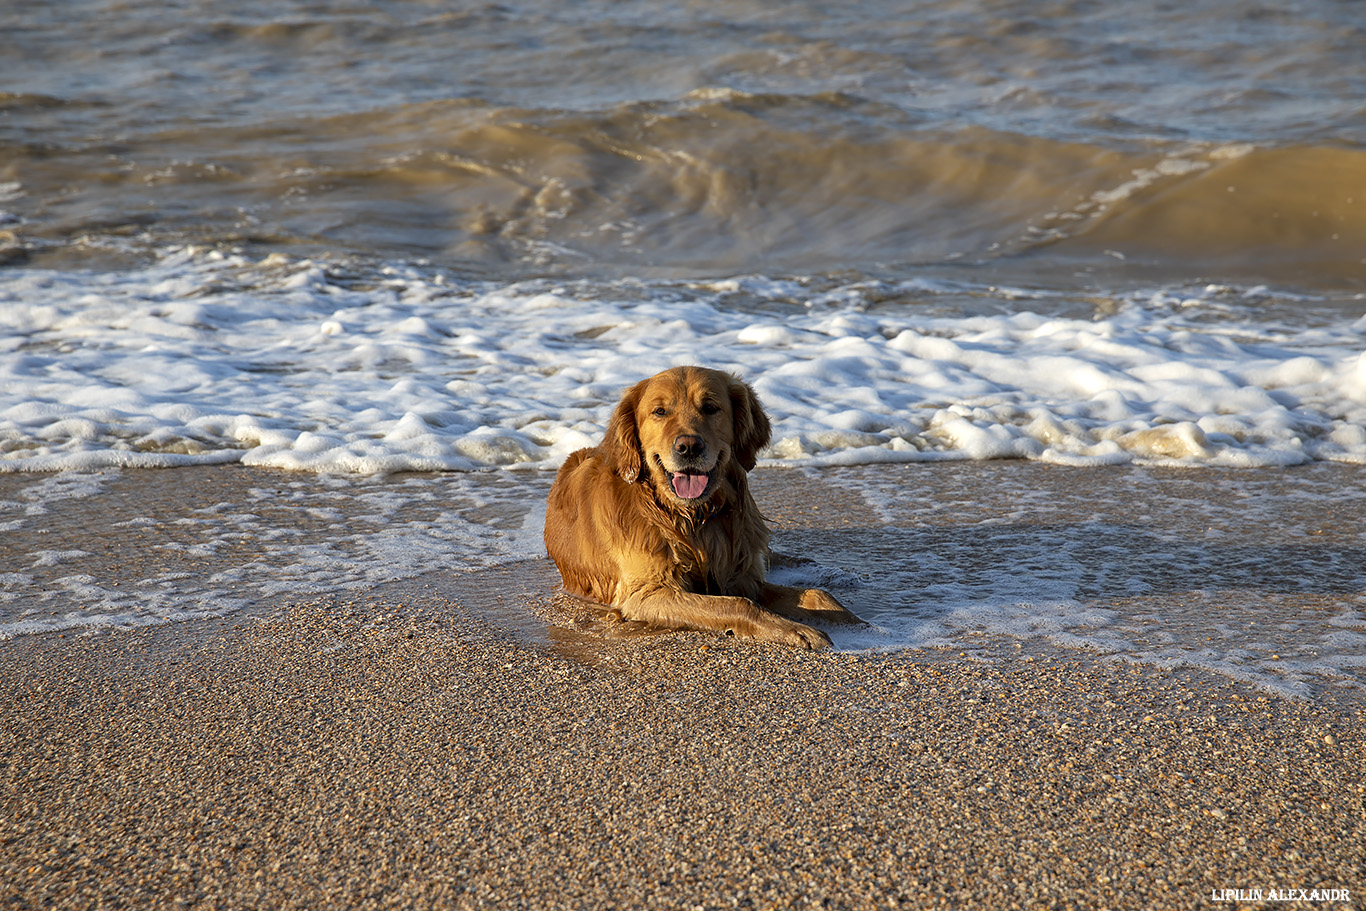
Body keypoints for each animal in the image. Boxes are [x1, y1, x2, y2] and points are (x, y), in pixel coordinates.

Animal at [540, 363, 852, 647]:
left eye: (710, 407)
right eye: (660, 411)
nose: (689, 446)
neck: (693, 518)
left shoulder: (743, 576)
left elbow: (819, 595)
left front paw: (858, 623)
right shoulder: (647, 594)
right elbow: (738, 603)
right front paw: (795, 630)